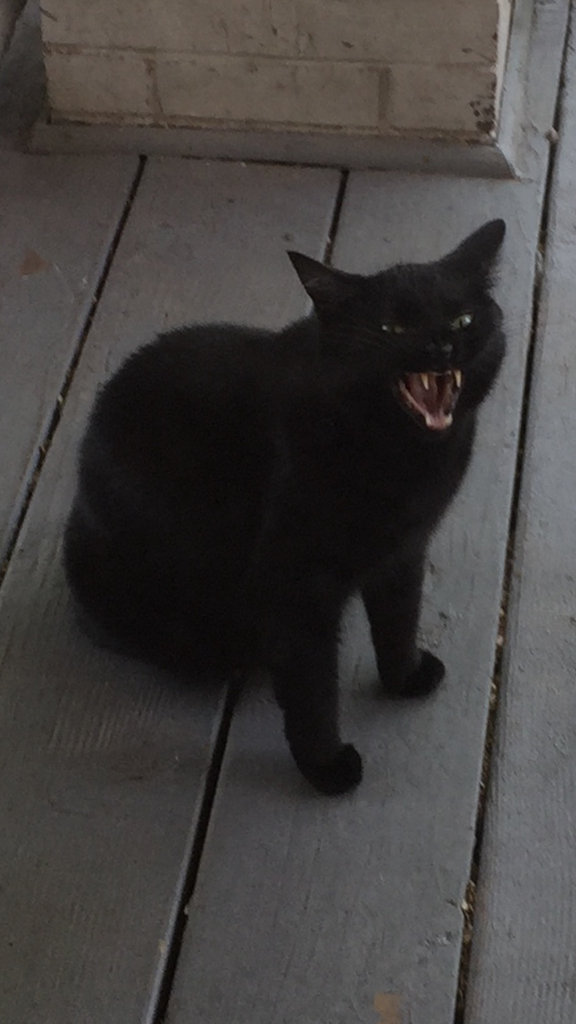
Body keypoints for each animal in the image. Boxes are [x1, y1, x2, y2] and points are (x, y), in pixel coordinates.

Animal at [64, 218, 506, 795]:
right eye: (391, 328)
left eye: (463, 318)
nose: (441, 344)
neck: (397, 453)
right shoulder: (297, 586)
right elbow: (312, 688)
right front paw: (326, 766)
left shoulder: (403, 551)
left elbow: (399, 618)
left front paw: (404, 675)